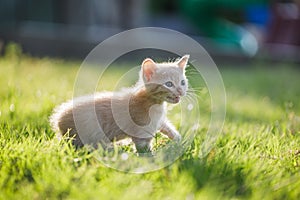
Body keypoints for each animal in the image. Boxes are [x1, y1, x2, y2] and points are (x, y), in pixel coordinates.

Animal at [50, 54, 189, 153]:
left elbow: (166, 126)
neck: (154, 103)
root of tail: (57, 119)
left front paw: (179, 140)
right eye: (169, 84)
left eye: (182, 82)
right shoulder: (141, 131)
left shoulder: (157, 121)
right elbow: (144, 149)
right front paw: (151, 161)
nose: (181, 91)